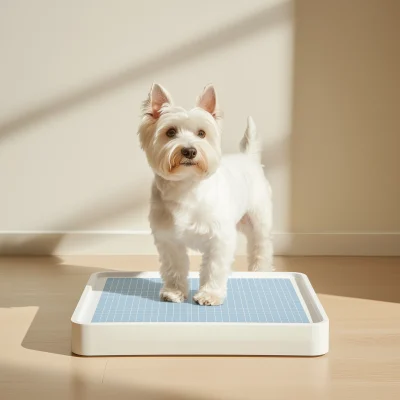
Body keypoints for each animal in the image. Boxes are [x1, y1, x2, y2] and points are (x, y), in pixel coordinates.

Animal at [137, 83, 272, 304]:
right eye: (170, 132)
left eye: (201, 133)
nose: (189, 151)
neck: (186, 186)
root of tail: (249, 158)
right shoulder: (169, 238)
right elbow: (174, 266)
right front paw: (174, 292)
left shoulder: (219, 238)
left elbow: (214, 268)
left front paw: (210, 294)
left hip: (259, 219)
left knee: (261, 246)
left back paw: (260, 271)